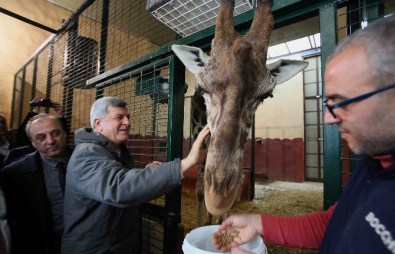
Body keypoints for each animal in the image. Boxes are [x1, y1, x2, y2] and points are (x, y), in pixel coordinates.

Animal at [173, 0, 310, 219]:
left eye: (265, 96)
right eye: (201, 88)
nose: (219, 198)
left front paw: (218, 217)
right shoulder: (198, 141)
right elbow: (199, 190)